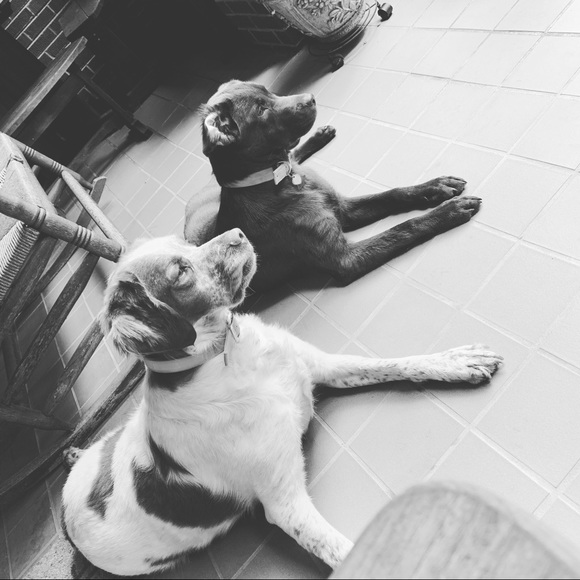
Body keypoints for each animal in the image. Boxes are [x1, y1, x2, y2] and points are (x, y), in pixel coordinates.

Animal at [62, 231, 503, 576]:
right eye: (180, 272)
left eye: (185, 240)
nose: (238, 233)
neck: (230, 357)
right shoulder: (284, 502)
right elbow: (341, 551)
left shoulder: (320, 365)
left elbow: (395, 363)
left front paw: (457, 362)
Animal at [184, 80, 481, 292]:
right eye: (260, 110)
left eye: (268, 91)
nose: (310, 98)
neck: (281, 180)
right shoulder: (345, 259)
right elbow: (403, 228)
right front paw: (449, 211)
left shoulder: (343, 207)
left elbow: (394, 193)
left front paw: (436, 187)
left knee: (296, 154)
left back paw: (319, 137)